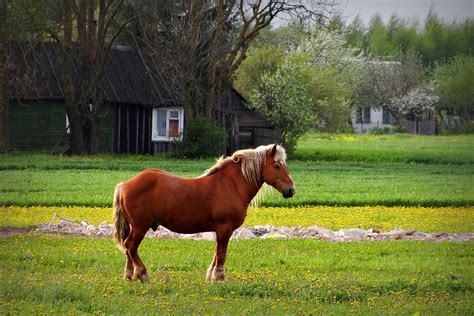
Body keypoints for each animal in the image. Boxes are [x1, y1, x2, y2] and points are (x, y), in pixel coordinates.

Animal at [112, 144, 294, 282]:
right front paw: (219, 277)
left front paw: (211, 276)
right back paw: (142, 273)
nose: (291, 190)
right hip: (140, 227)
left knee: (128, 249)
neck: (231, 185)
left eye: (285, 165)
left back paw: (129, 274)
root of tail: (125, 185)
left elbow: (216, 254)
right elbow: (221, 255)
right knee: (130, 246)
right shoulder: (224, 229)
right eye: (277, 166)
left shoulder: (220, 231)